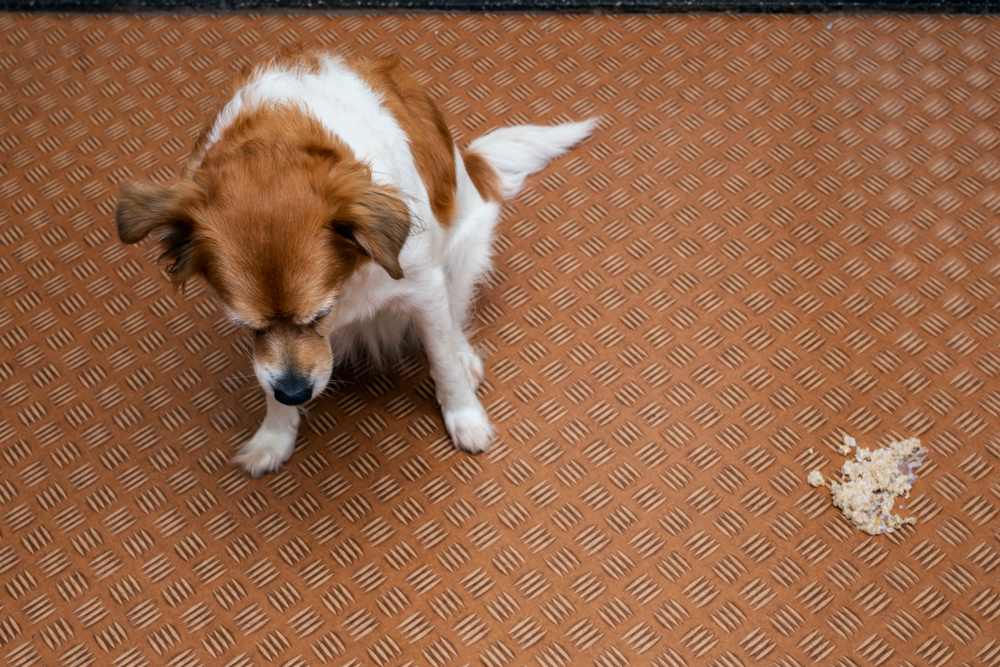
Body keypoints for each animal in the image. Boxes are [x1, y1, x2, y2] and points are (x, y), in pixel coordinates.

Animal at [116, 49, 592, 478]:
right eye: (249, 326)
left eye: (319, 315)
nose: (295, 394)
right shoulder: (269, 356)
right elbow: (267, 378)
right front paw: (274, 436)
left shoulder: (424, 288)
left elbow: (442, 359)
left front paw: (464, 415)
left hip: (465, 251)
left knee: (455, 318)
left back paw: (465, 357)